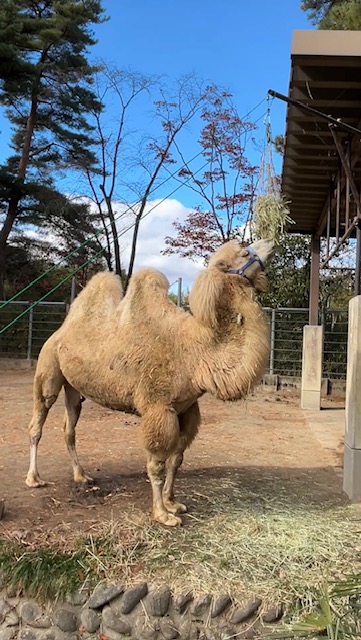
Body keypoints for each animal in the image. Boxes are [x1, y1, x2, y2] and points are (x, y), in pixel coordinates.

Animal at [25, 239, 272, 524]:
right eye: (244, 251)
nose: (269, 244)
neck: (196, 353)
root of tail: (59, 332)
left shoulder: (187, 409)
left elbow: (177, 459)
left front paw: (173, 503)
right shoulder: (158, 408)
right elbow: (156, 465)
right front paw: (162, 515)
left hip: (75, 388)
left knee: (69, 427)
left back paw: (81, 475)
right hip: (48, 369)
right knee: (37, 421)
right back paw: (34, 479)